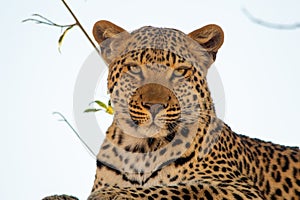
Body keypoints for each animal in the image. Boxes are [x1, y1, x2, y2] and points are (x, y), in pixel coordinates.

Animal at [43, 20, 298, 200]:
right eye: (134, 69)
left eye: (179, 71)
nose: (154, 105)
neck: (142, 149)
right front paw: (60, 196)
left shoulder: (239, 189)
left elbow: (180, 189)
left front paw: (113, 194)